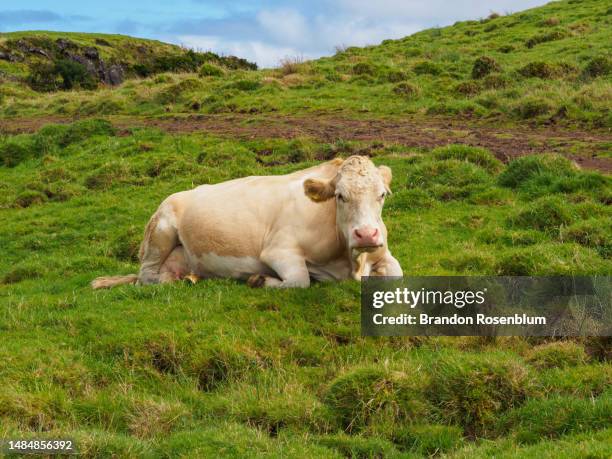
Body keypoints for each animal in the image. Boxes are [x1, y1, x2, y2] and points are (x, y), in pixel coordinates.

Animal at [92, 156, 402, 290]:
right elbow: (300, 280)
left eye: (382, 195)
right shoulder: (278, 250)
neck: (351, 262)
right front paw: (259, 279)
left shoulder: (382, 253)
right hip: (160, 232)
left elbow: (397, 274)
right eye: (340, 196)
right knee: (147, 276)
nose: (366, 234)